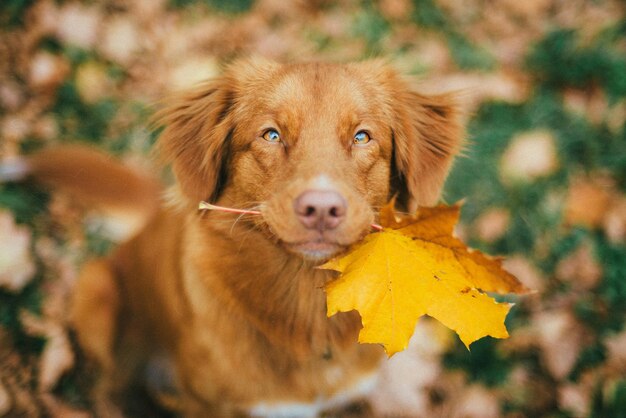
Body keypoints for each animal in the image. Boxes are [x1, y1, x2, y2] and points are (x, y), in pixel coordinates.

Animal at [7, 58, 460, 414]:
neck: (307, 308)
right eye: (271, 134)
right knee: (110, 386)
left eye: (362, 136)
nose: (321, 209)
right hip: (96, 295)